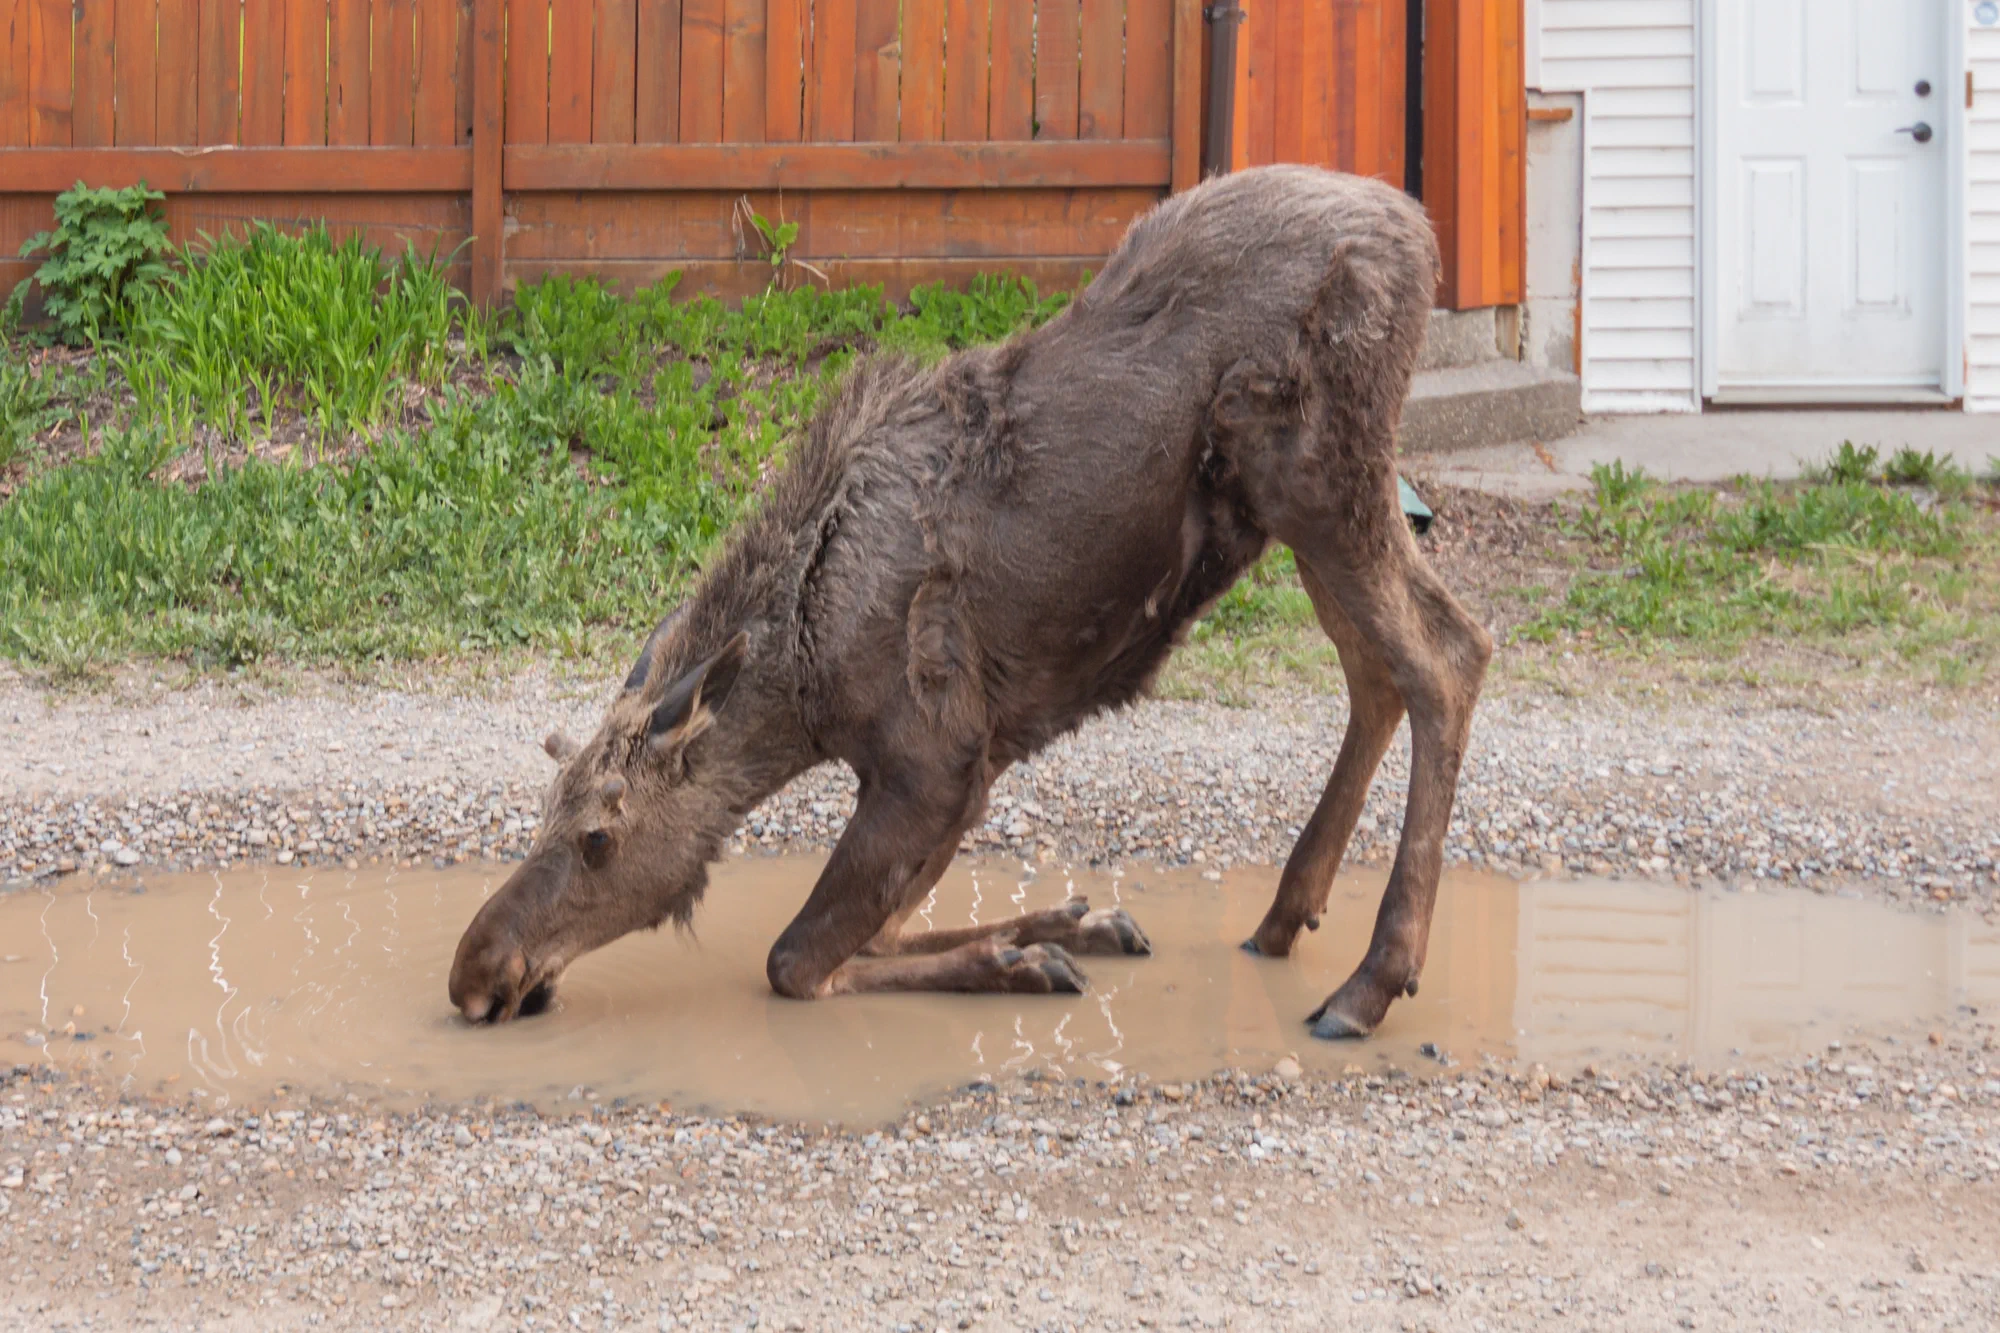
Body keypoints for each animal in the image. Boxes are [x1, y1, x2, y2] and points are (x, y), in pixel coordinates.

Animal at [449, 164, 1491, 1041]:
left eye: (598, 836)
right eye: (544, 810)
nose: (475, 968)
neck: (803, 680)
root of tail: (1420, 233)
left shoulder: (933, 756)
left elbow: (798, 959)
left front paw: (1015, 960)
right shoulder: (974, 765)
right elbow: (877, 932)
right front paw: (1063, 923)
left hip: (1321, 481)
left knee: (1448, 654)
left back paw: (1369, 980)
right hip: (1294, 514)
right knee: (1377, 671)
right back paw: (1284, 914)